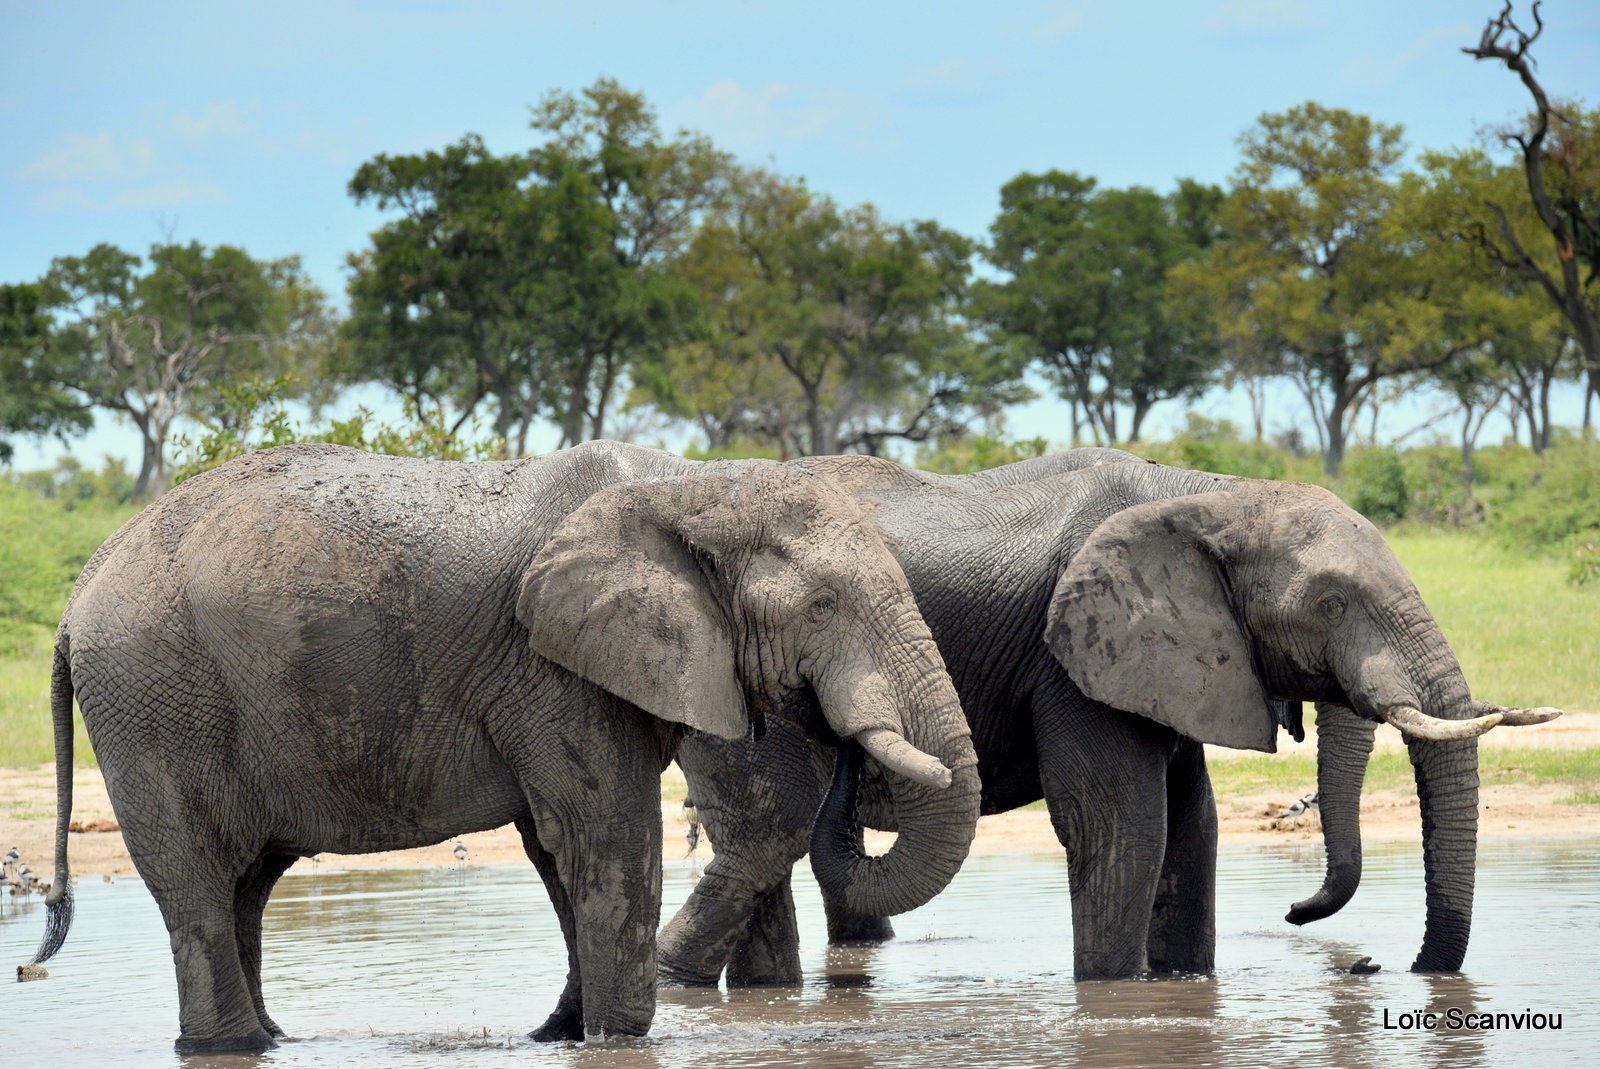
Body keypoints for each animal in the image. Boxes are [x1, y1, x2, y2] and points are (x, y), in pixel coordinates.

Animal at [28, 441, 972, 1049]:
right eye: (823, 606)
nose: (838, 732)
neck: (698, 484)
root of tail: (78, 598)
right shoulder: (551, 665)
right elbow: (605, 834)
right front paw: (617, 1039)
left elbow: (560, 852)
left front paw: (560, 1034)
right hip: (153, 700)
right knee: (197, 879)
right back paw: (226, 1045)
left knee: (247, 883)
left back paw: (268, 1039)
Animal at [656, 451, 1555, 985]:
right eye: (1330, 602)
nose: (1385, 967)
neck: (1215, 495)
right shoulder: (1073, 659)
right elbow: (1121, 824)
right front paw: (1118, 997)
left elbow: (1193, 824)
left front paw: (1184, 988)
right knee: (767, 826)